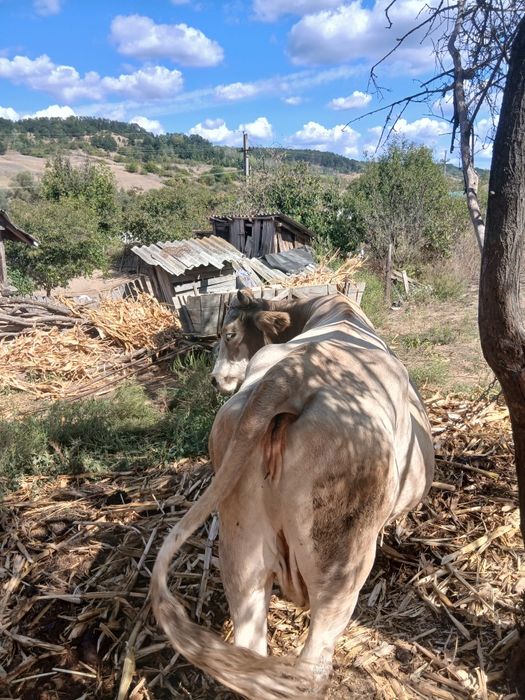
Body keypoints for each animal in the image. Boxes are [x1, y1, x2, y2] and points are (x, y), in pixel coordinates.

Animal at [151, 289, 434, 699]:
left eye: (230, 334)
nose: (215, 379)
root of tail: (288, 377)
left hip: (241, 547)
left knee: (249, 642)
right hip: (341, 558)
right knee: (313, 659)